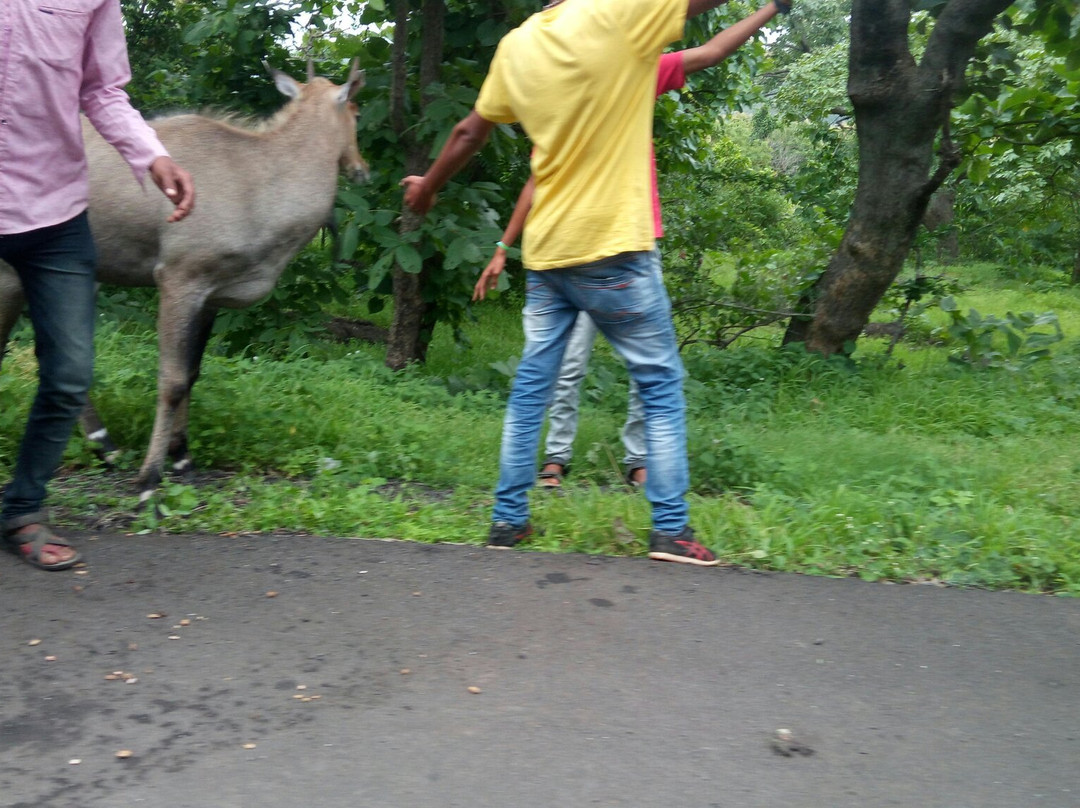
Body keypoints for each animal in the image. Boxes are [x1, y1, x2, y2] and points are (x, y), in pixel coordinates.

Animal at [0, 63, 369, 501]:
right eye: (357, 112)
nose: (362, 169)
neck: (260, 183)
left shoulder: (209, 294)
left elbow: (192, 373)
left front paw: (182, 458)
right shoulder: (178, 278)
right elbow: (172, 380)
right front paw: (148, 477)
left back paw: (105, 446)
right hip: (12, 273)